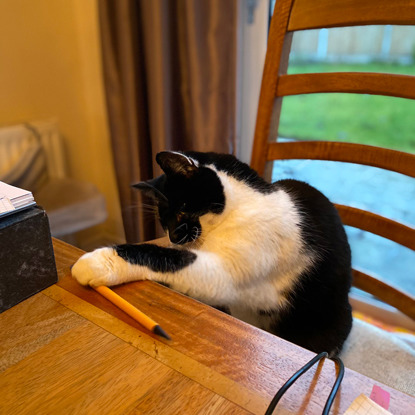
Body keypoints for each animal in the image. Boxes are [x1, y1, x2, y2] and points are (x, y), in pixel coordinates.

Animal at [73, 151, 352, 356]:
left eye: (182, 211)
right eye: (163, 220)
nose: (173, 237)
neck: (241, 208)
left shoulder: (231, 268)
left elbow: (168, 258)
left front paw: (97, 261)